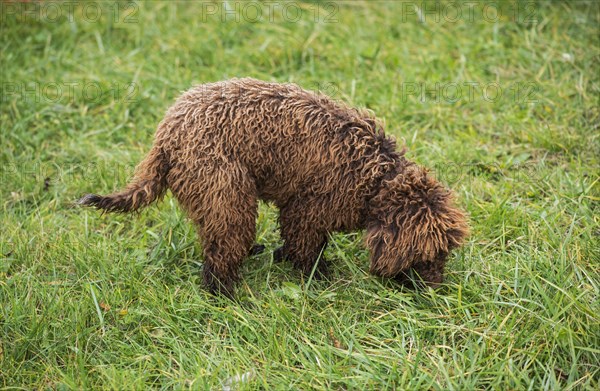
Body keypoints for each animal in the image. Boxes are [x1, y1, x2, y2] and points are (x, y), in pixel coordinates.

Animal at [77, 77, 468, 298]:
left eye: (444, 253)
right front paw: (318, 277)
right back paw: (225, 295)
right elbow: (306, 248)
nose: (438, 293)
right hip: (225, 190)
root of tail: (165, 138)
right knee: (220, 252)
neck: (378, 178)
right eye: (427, 256)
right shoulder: (308, 208)